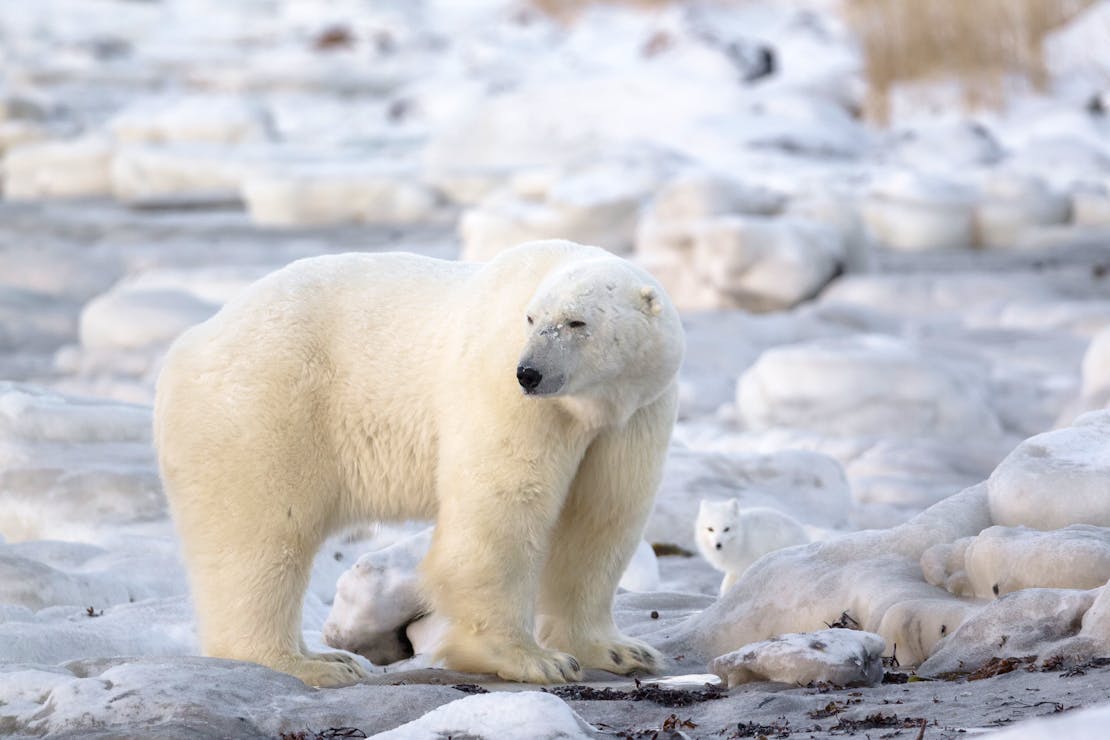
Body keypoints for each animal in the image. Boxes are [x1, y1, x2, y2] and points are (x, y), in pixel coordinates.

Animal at [153, 239, 685, 687]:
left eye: (577, 323)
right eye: (532, 319)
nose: (529, 373)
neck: (590, 406)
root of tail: (191, 343)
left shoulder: (634, 414)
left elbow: (600, 519)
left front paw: (619, 651)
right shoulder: (504, 395)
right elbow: (503, 510)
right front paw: (528, 658)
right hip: (264, 409)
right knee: (260, 538)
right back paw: (309, 663)